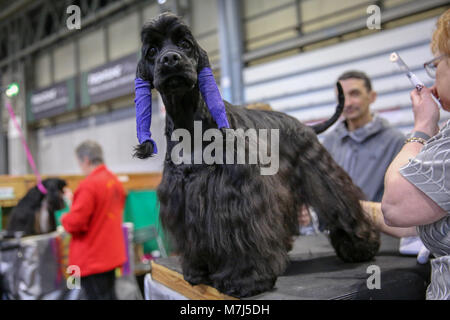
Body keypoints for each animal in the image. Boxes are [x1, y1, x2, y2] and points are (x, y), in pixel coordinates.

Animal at [134, 12, 380, 298]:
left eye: (185, 43)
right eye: (152, 51)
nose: (170, 59)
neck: (189, 119)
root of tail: (304, 125)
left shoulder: (236, 194)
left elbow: (243, 240)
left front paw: (246, 280)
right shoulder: (183, 196)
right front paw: (196, 271)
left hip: (319, 170)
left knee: (342, 204)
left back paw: (360, 246)